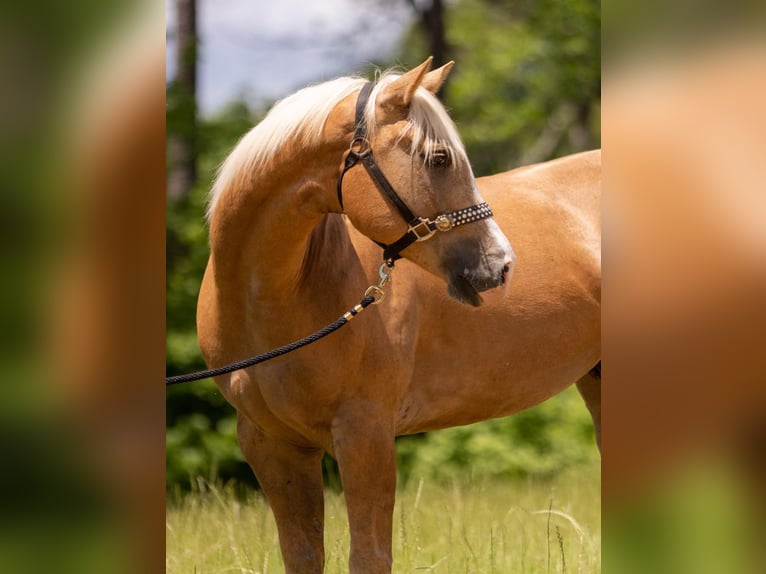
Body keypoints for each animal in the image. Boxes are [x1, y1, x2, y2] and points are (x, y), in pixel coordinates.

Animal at [196, 56, 600, 572]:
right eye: (439, 158)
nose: (502, 263)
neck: (273, 301)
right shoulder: (271, 446)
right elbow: (303, 554)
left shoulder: (365, 435)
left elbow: (369, 556)